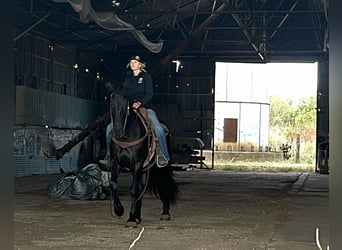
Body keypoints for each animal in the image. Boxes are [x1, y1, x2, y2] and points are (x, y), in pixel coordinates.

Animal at [109, 91, 179, 227]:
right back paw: (138, 217)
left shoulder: (137, 164)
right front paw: (119, 210)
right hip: (144, 170)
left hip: (161, 167)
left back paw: (165, 213)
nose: (118, 131)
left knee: (165, 183)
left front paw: (131, 219)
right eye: (111, 106)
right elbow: (114, 184)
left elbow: (133, 190)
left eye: (126, 107)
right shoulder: (116, 163)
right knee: (141, 188)